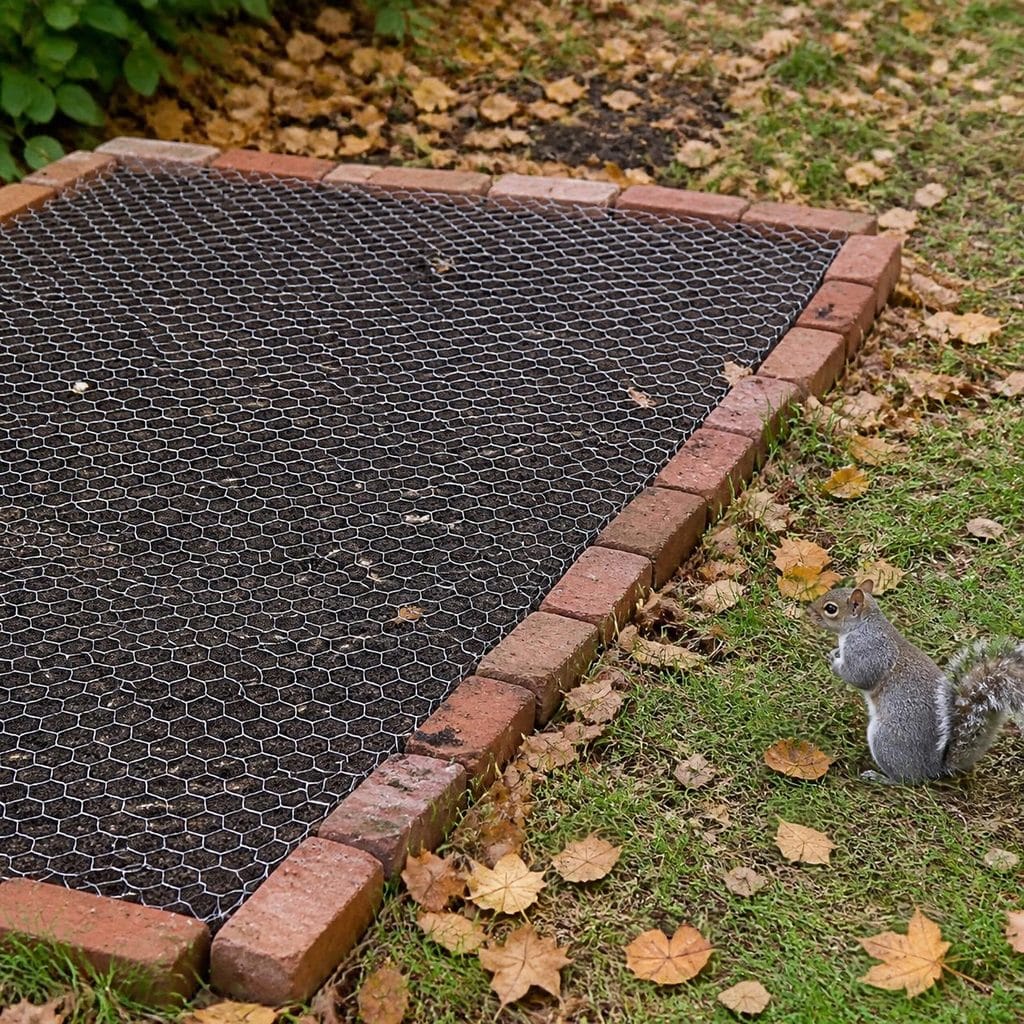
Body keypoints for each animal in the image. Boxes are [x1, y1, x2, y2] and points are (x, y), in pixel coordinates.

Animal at [807, 580, 1024, 783]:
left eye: (831, 609)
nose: (809, 612)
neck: (863, 625)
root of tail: (933, 768)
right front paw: (834, 652)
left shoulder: (869, 650)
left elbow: (859, 676)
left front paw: (834, 662)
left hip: (885, 739)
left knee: (905, 780)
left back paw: (880, 778)